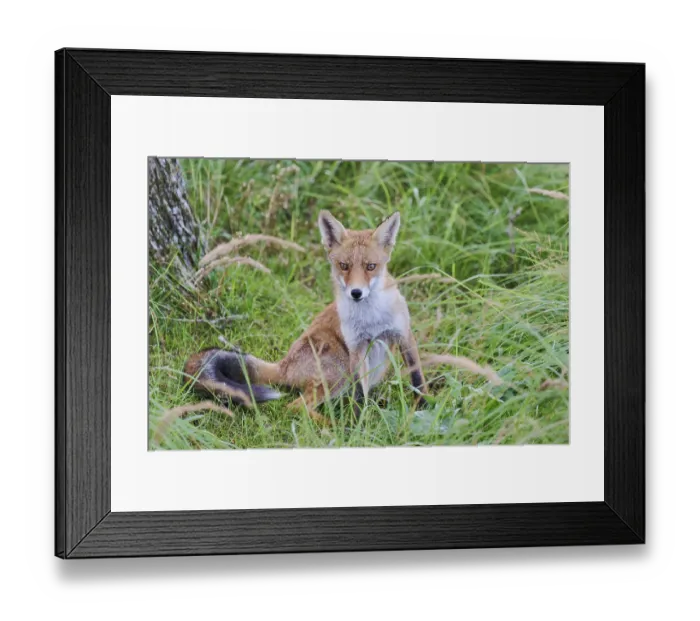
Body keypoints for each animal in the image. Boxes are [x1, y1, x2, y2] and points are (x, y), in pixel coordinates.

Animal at [183, 210, 427, 423]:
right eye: (344, 266)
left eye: (370, 266)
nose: (356, 293)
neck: (372, 319)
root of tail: (284, 365)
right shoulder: (356, 347)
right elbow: (360, 396)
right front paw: (358, 425)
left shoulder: (403, 333)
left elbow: (417, 378)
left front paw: (424, 407)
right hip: (340, 369)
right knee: (295, 407)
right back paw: (333, 427)